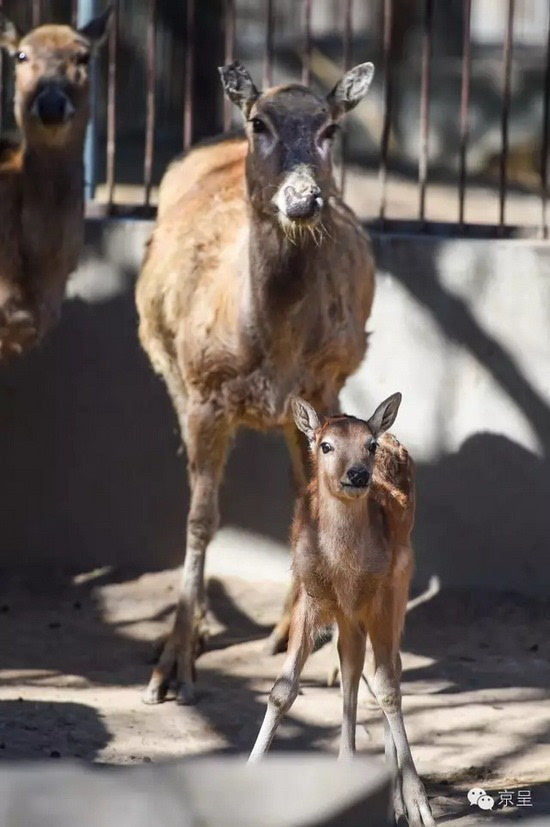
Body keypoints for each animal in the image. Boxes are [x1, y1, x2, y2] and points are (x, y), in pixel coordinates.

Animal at [138, 59, 380, 704]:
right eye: (259, 123)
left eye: (330, 128)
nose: (303, 198)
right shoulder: (203, 389)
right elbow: (200, 518)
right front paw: (171, 665)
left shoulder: (326, 382)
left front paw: (334, 653)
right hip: (176, 377)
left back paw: (289, 629)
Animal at [249, 394, 436, 827]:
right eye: (325, 445)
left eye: (370, 445)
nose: (357, 474)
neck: (344, 569)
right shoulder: (310, 594)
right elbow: (282, 690)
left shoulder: (383, 592)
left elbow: (387, 688)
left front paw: (419, 804)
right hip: (349, 615)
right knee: (351, 666)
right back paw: (349, 767)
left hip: (400, 581)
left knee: (391, 668)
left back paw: (395, 802)